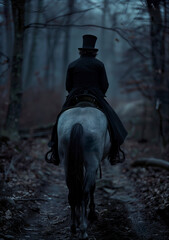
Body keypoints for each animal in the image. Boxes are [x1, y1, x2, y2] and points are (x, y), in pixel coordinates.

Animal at [57, 106, 111, 239]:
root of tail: (78, 122)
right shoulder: (93, 166)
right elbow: (92, 187)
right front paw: (91, 213)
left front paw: (77, 217)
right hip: (91, 163)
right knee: (84, 194)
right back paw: (84, 230)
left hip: (67, 163)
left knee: (72, 192)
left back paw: (73, 226)